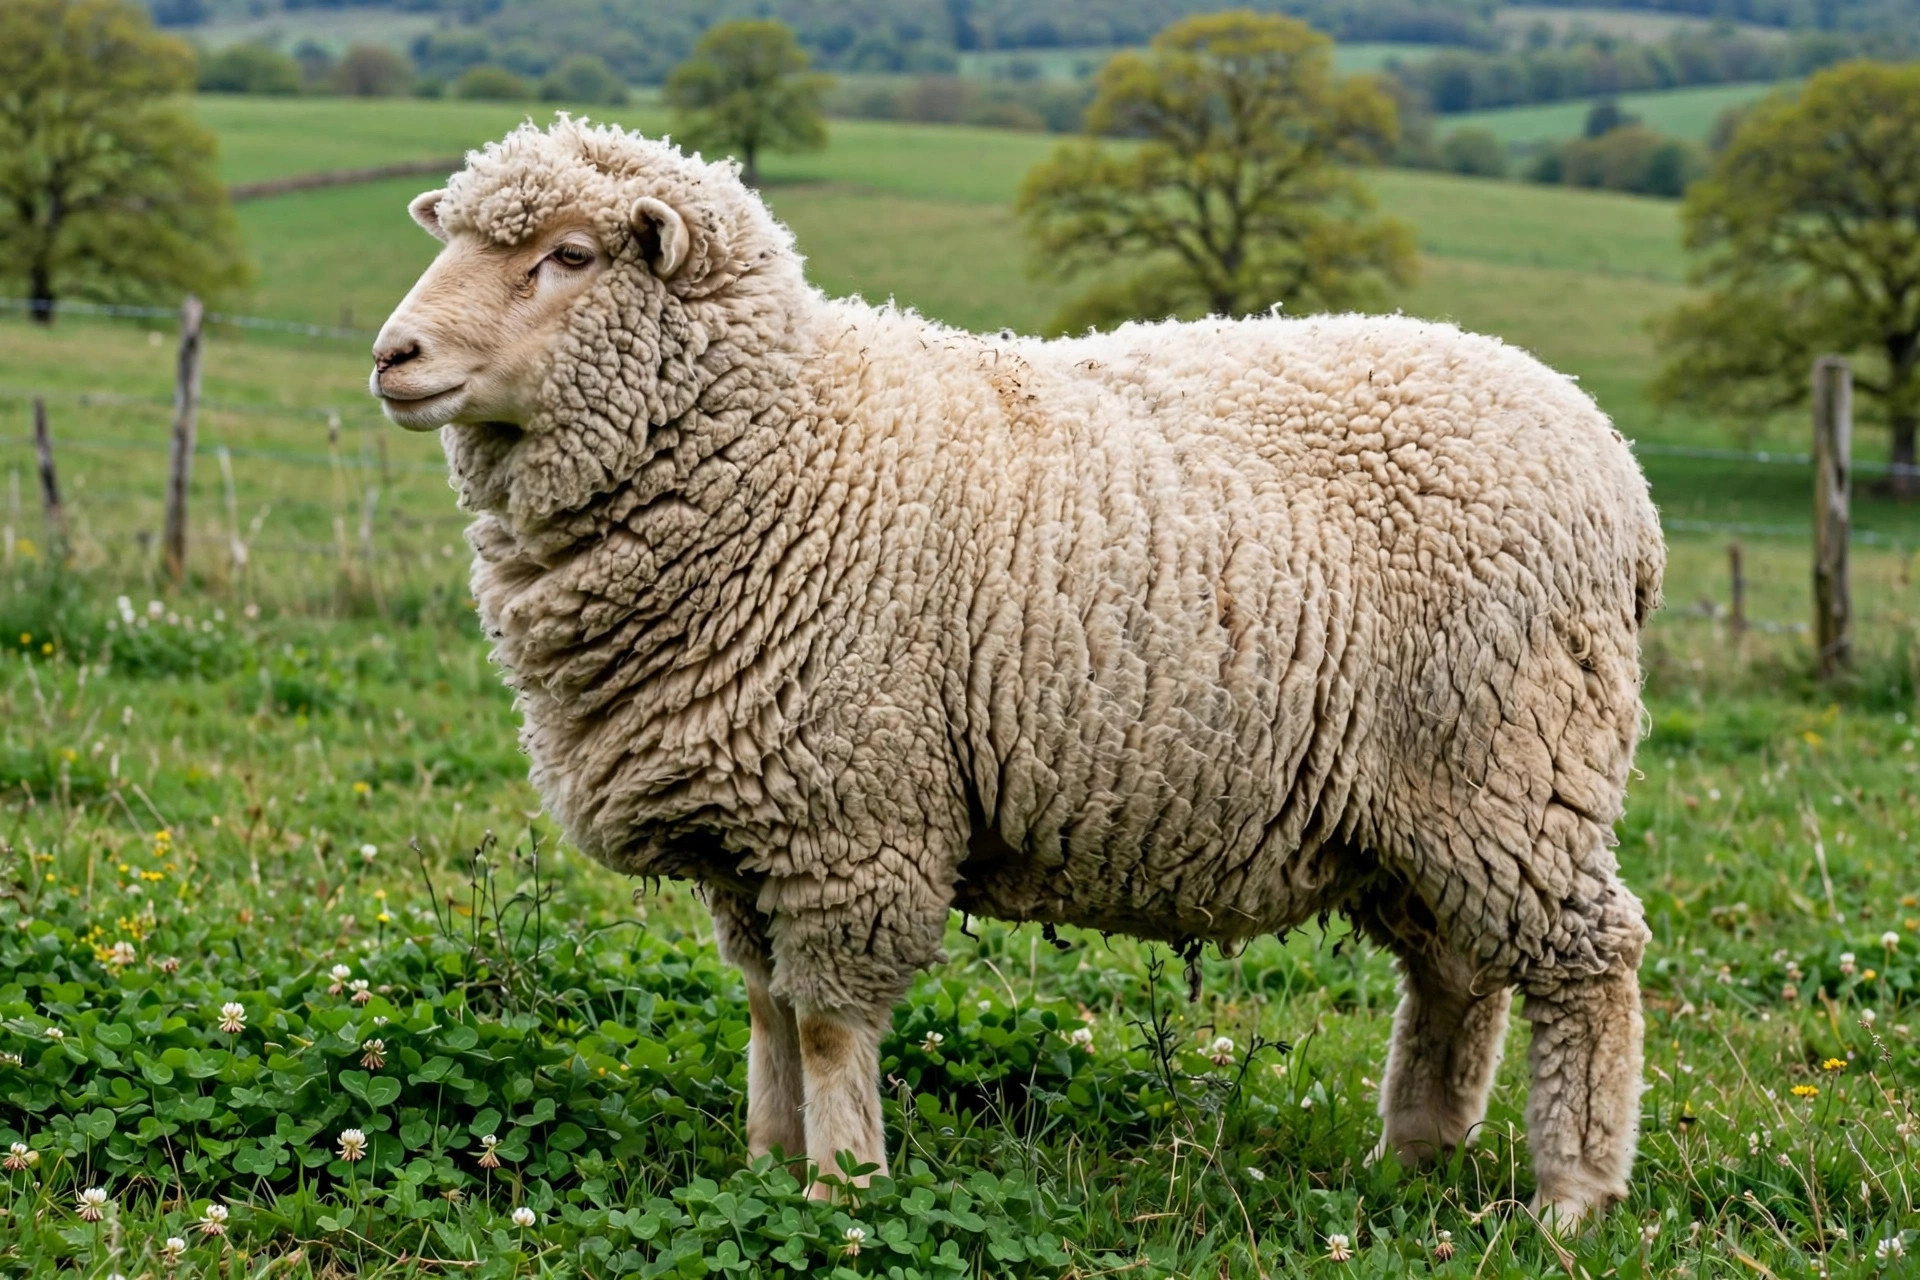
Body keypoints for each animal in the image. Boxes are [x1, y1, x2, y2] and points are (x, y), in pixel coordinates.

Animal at [370, 117, 1664, 1228]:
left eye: (569, 256)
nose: (393, 355)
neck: (786, 439)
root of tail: (1618, 466)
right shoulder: (750, 820)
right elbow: (767, 1008)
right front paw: (765, 1166)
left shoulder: (855, 813)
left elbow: (827, 1022)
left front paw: (844, 1190)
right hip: (1425, 802)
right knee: (1457, 972)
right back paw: (1409, 1160)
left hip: (1513, 762)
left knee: (1591, 963)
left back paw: (1572, 1195)